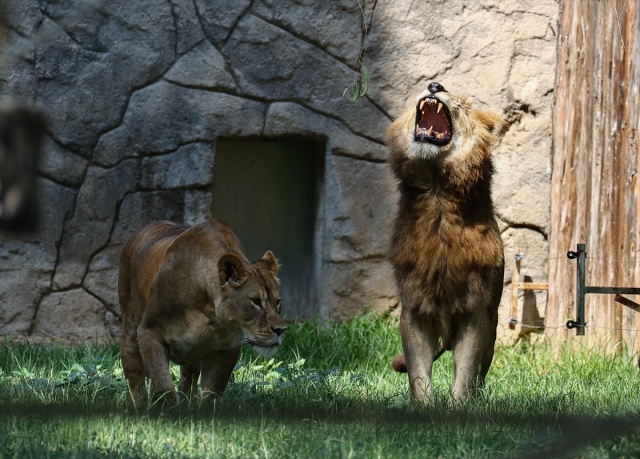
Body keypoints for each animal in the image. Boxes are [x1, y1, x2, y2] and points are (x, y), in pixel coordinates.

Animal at [121, 219, 286, 406]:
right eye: (256, 301)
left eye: (277, 301)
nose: (281, 330)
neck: (207, 312)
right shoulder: (149, 333)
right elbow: (162, 385)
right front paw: (167, 409)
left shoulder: (227, 349)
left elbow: (211, 393)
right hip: (130, 327)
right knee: (134, 371)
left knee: (189, 379)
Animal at [384, 82, 504, 402]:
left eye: (462, 104)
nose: (434, 85)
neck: (437, 191)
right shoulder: (413, 311)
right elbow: (418, 373)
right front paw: (424, 406)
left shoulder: (475, 314)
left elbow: (465, 374)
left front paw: (459, 406)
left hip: (493, 326)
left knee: (481, 372)